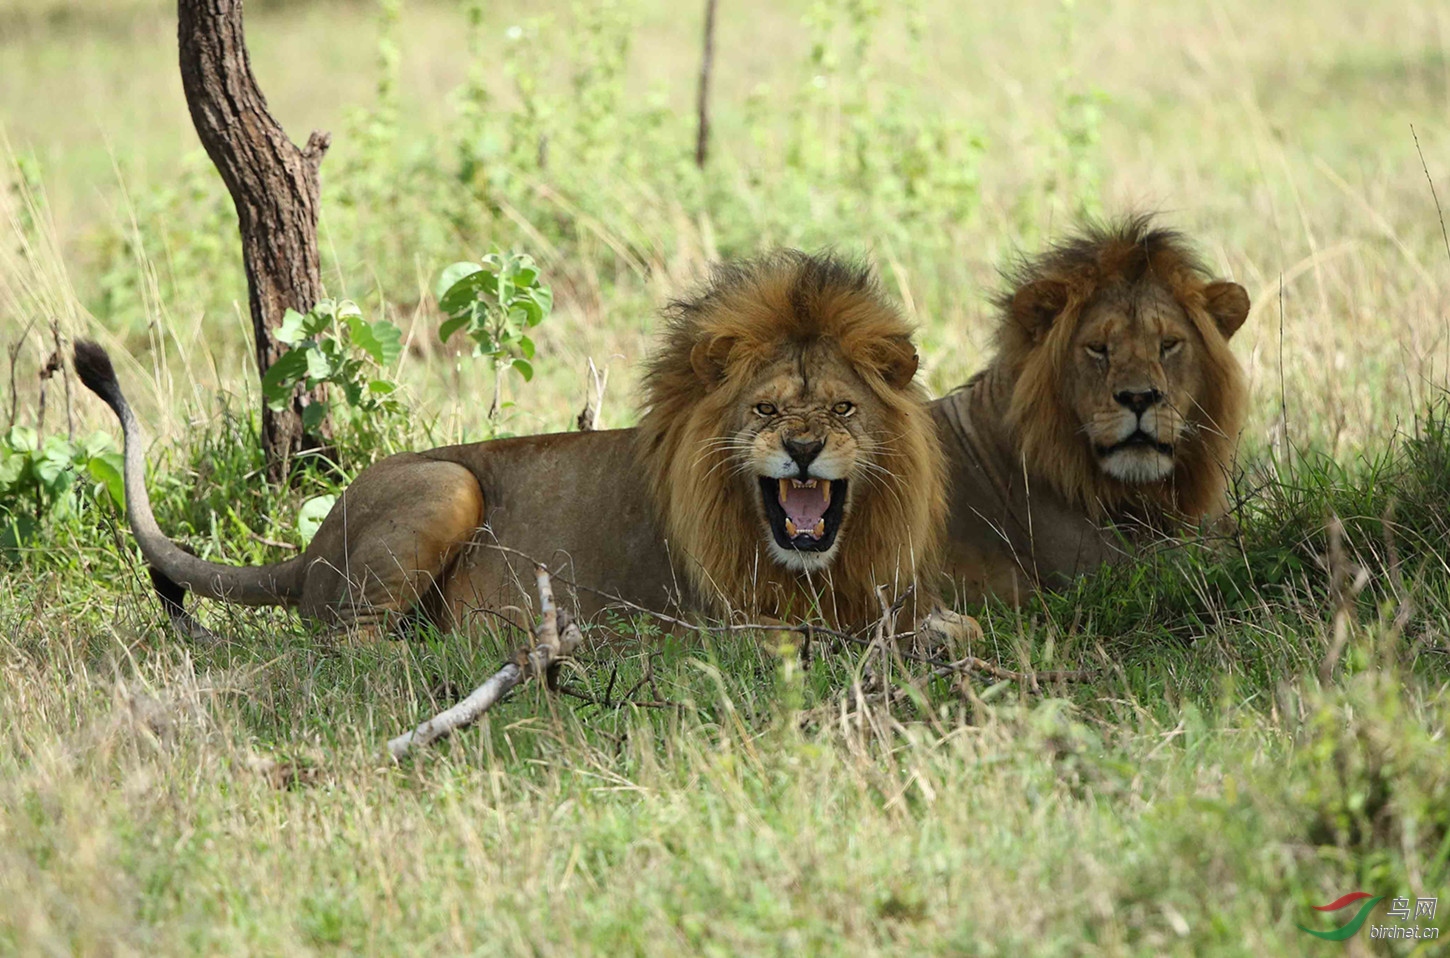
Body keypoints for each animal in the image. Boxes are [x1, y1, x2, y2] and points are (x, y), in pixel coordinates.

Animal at [79, 250, 945, 634]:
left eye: (843, 408)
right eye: (764, 410)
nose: (801, 449)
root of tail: (311, 547)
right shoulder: (729, 627)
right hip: (447, 486)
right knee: (345, 641)